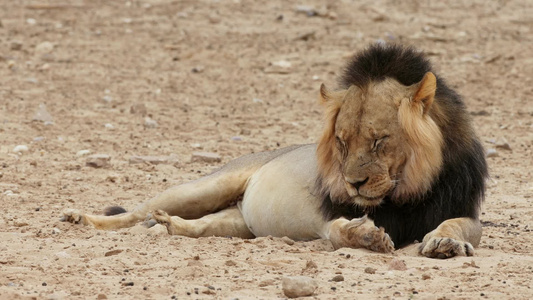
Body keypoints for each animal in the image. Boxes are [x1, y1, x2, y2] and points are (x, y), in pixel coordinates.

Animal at [61, 44, 486, 258]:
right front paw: (366, 237)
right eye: (342, 142)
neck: (405, 191)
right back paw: (81, 219)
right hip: (202, 187)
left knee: (198, 227)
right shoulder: (327, 218)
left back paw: (171, 226)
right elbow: (338, 231)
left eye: (380, 140)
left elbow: (458, 226)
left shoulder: (462, 210)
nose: (354, 183)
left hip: (237, 223)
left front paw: (445, 243)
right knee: (134, 214)